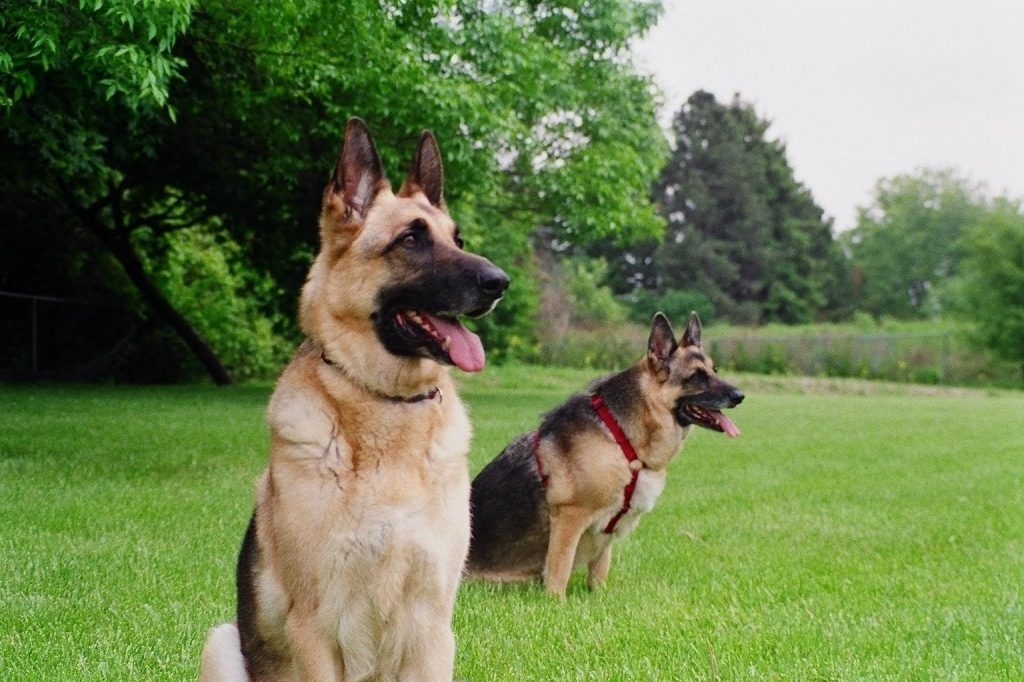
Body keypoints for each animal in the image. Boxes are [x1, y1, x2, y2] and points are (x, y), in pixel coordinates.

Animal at [197, 118, 509, 679]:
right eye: (411, 239)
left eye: (458, 240)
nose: (500, 282)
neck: (387, 405)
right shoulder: (315, 628)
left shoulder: (434, 628)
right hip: (221, 641)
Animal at [468, 311, 741, 593]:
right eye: (697, 376)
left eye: (714, 371)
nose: (739, 396)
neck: (621, 438)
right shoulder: (569, 518)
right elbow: (559, 572)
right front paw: (556, 601)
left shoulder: (606, 532)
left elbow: (599, 572)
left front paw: (596, 596)